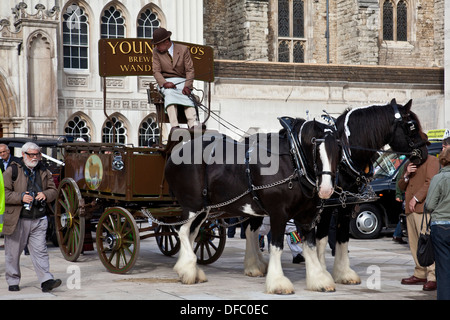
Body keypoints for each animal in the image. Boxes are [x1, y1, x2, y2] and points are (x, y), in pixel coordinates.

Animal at [163, 119, 340, 294]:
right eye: (316, 147)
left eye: (338, 149)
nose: (326, 189)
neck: (294, 159)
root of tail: (174, 155)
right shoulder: (278, 214)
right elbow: (276, 246)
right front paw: (278, 283)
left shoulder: (307, 216)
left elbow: (310, 246)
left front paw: (319, 279)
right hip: (191, 206)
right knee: (181, 230)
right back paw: (187, 269)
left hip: (203, 209)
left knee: (192, 233)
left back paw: (189, 269)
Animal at [302, 99, 428, 292]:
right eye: (411, 126)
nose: (425, 154)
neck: (345, 155)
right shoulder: (327, 204)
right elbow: (321, 238)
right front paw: (322, 274)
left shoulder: (347, 202)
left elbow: (342, 237)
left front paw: (344, 273)